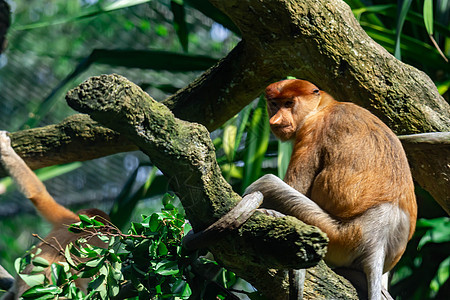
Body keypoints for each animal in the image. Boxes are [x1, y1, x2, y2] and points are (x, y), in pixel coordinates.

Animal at [244, 79, 416, 300]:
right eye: (274, 104)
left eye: (289, 103)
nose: (275, 120)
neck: (323, 106)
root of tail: (379, 239)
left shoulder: (311, 131)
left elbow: (296, 185)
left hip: (339, 236)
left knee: (267, 182)